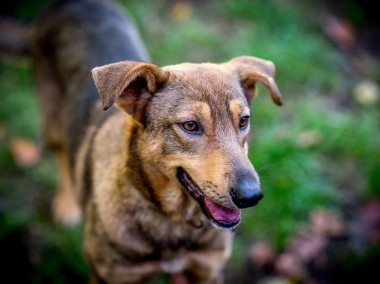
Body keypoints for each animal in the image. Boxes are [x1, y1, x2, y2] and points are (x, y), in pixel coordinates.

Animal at [0, 0, 280, 282]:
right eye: (190, 125)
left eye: (243, 121)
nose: (251, 196)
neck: (172, 221)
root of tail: (67, 3)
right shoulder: (110, 275)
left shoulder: (206, 271)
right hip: (52, 120)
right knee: (60, 153)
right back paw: (67, 203)